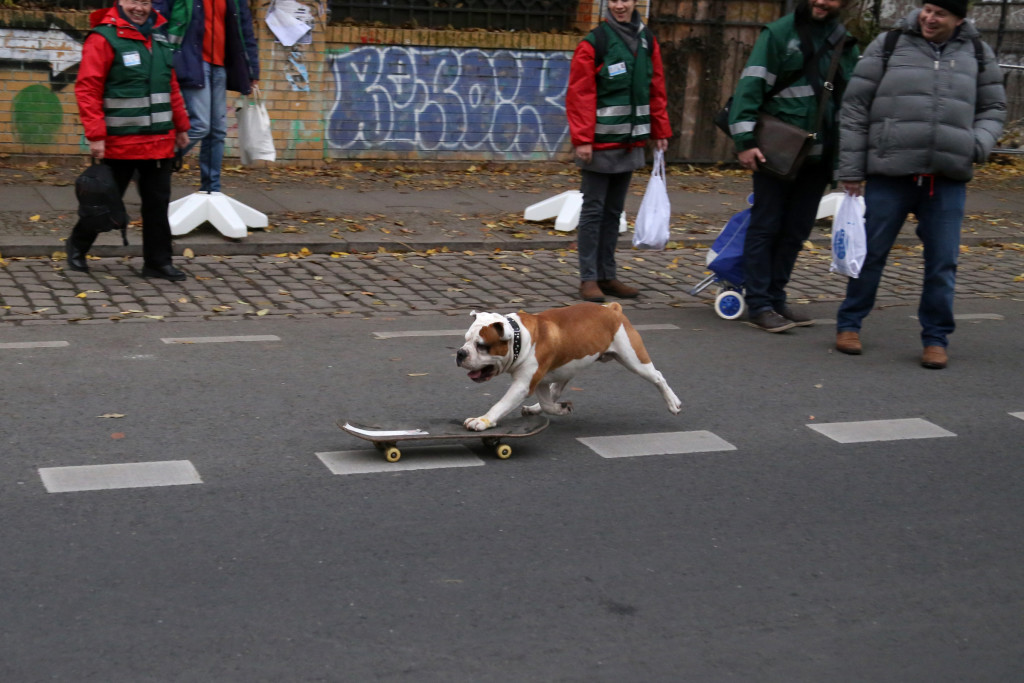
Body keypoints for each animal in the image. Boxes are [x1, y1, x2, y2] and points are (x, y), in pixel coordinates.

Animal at [454, 305, 679, 432]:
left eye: (482, 346)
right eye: (465, 340)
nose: (460, 353)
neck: (519, 338)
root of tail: (613, 309)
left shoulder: (523, 384)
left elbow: (500, 405)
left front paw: (482, 421)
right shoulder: (537, 381)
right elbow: (547, 403)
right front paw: (561, 409)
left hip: (634, 360)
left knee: (658, 377)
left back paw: (673, 403)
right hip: (566, 368)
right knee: (554, 392)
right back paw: (537, 408)